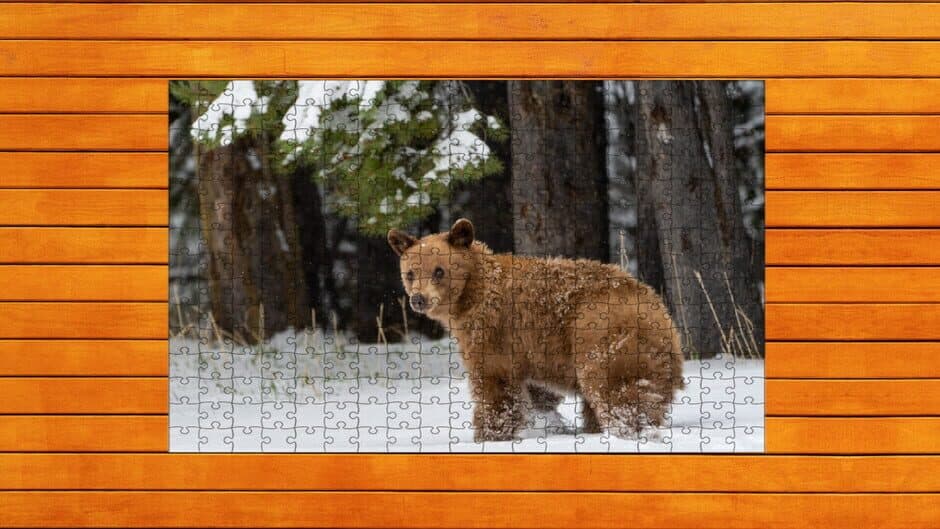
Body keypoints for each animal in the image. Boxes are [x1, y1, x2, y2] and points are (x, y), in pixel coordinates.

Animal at [388, 218, 685, 442]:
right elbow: (537, 391)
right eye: (410, 273)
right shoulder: (529, 350)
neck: (470, 296)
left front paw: (489, 433)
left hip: (601, 336)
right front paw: (547, 419)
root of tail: (663, 318)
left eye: (439, 271)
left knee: (614, 391)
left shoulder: (494, 332)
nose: (419, 299)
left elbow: (494, 383)